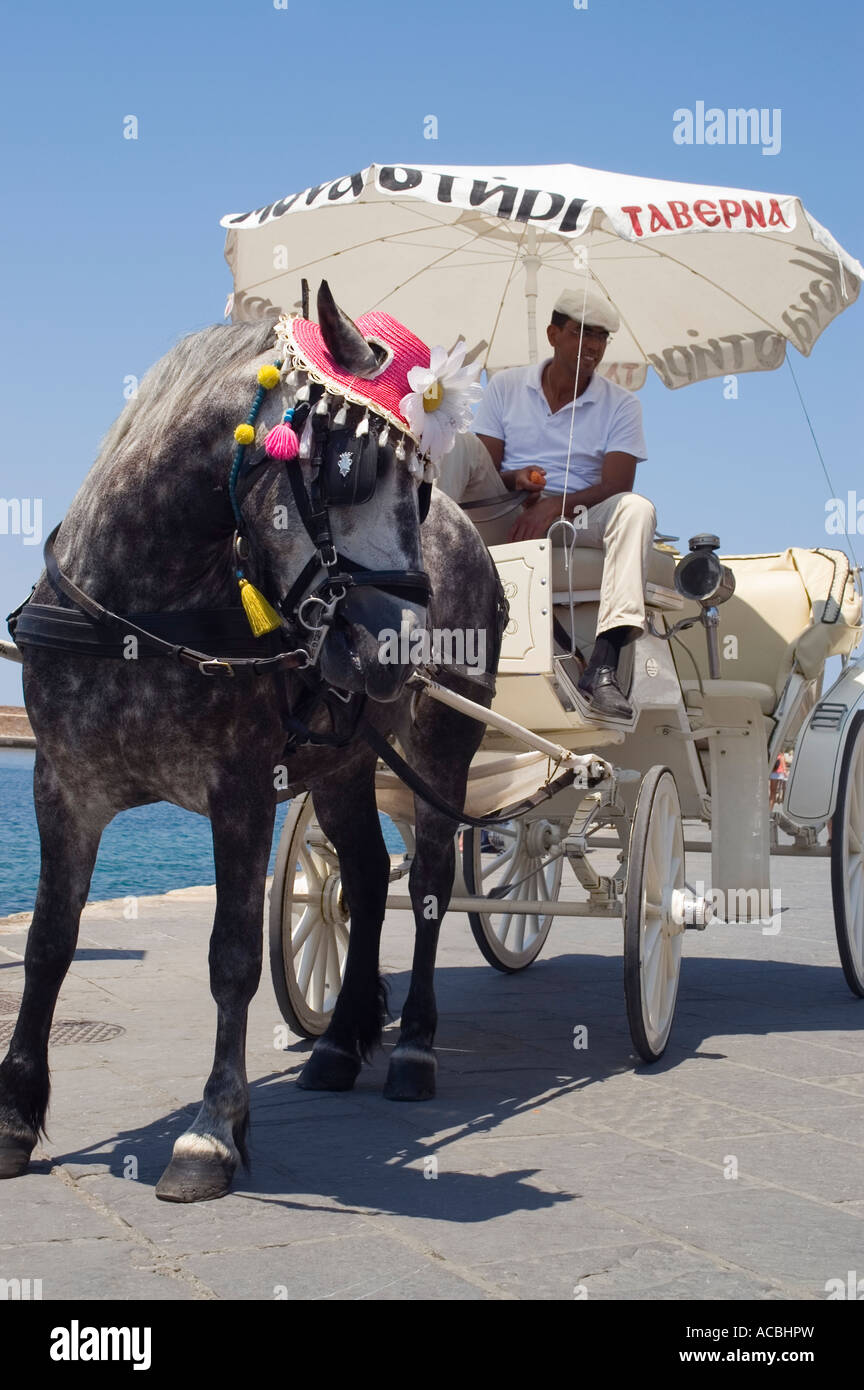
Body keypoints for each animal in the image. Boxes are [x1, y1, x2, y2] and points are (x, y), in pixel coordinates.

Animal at [0, 284, 500, 1206]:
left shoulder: (238, 791)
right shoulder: (64, 785)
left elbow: (231, 958)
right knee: (364, 880)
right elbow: (49, 943)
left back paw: (412, 1047)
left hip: (445, 747)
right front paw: (15, 1114)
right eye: (350, 467)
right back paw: (340, 1041)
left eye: (422, 492)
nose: (406, 648)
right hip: (345, 762)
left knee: (428, 889)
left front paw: (211, 1131)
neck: (143, 610)